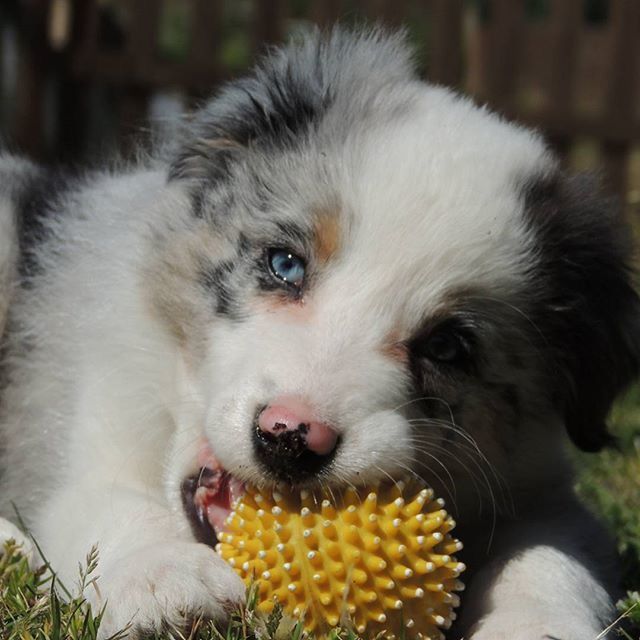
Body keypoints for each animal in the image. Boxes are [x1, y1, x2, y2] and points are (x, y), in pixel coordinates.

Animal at [1, 28, 640, 640]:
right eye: (285, 264)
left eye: (446, 346)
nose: (290, 439)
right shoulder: (80, 436)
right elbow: (108, 505)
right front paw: (167, 579)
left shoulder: (539, 491)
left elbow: (552, 555)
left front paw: (539, 625)